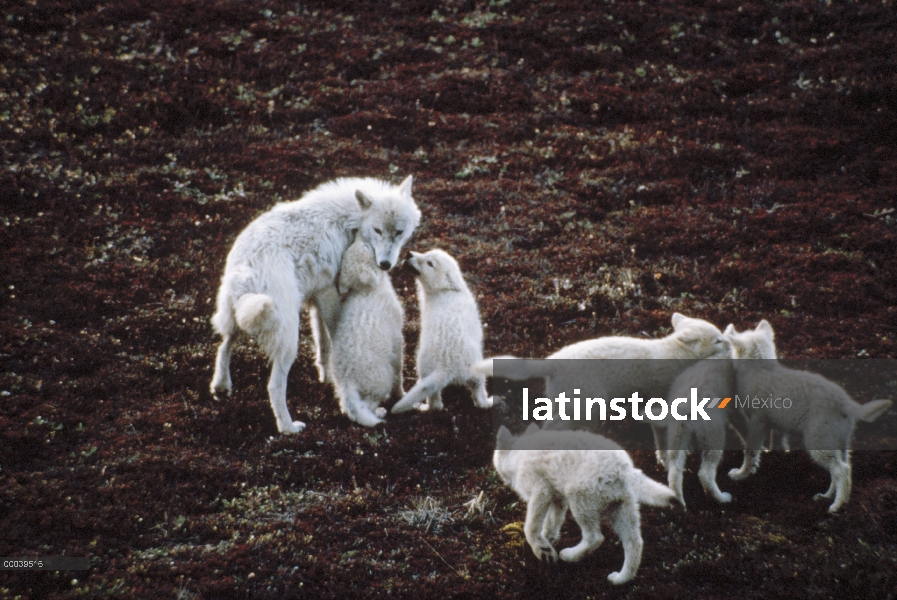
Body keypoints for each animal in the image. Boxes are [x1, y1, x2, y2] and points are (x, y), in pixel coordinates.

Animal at [328, 234, 402, 426]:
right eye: (367, 248)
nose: (359, 235)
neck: (366, 290)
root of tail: (348, 381)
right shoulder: (397, 335)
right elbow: (400, 368)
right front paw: (402, 393)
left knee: (349, 407)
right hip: (381, 379)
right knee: (369, 404)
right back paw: (380, 413)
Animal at [494, 424, 676, 584]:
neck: (518, 456)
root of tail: (625, 469)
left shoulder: (541, 492)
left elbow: (531, 527)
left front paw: (542, 550)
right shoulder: (558, 499)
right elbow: (551, 523)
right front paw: (547, 541)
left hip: (578, 499)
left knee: (595, 537)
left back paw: (570, 555)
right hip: (621, 509)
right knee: (634, 543)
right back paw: (622, 579)